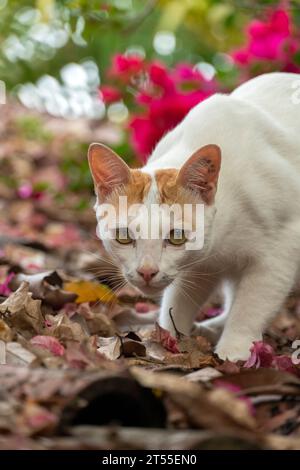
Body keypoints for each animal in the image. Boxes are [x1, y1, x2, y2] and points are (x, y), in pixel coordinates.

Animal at [88, 72, 300, 360]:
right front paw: (167, 337)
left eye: (176, 236)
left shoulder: (281, 249)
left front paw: (234, 349)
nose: (146, 271)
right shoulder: (201, 264)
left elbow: (252, 305)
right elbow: (178, 301)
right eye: (123, 236)